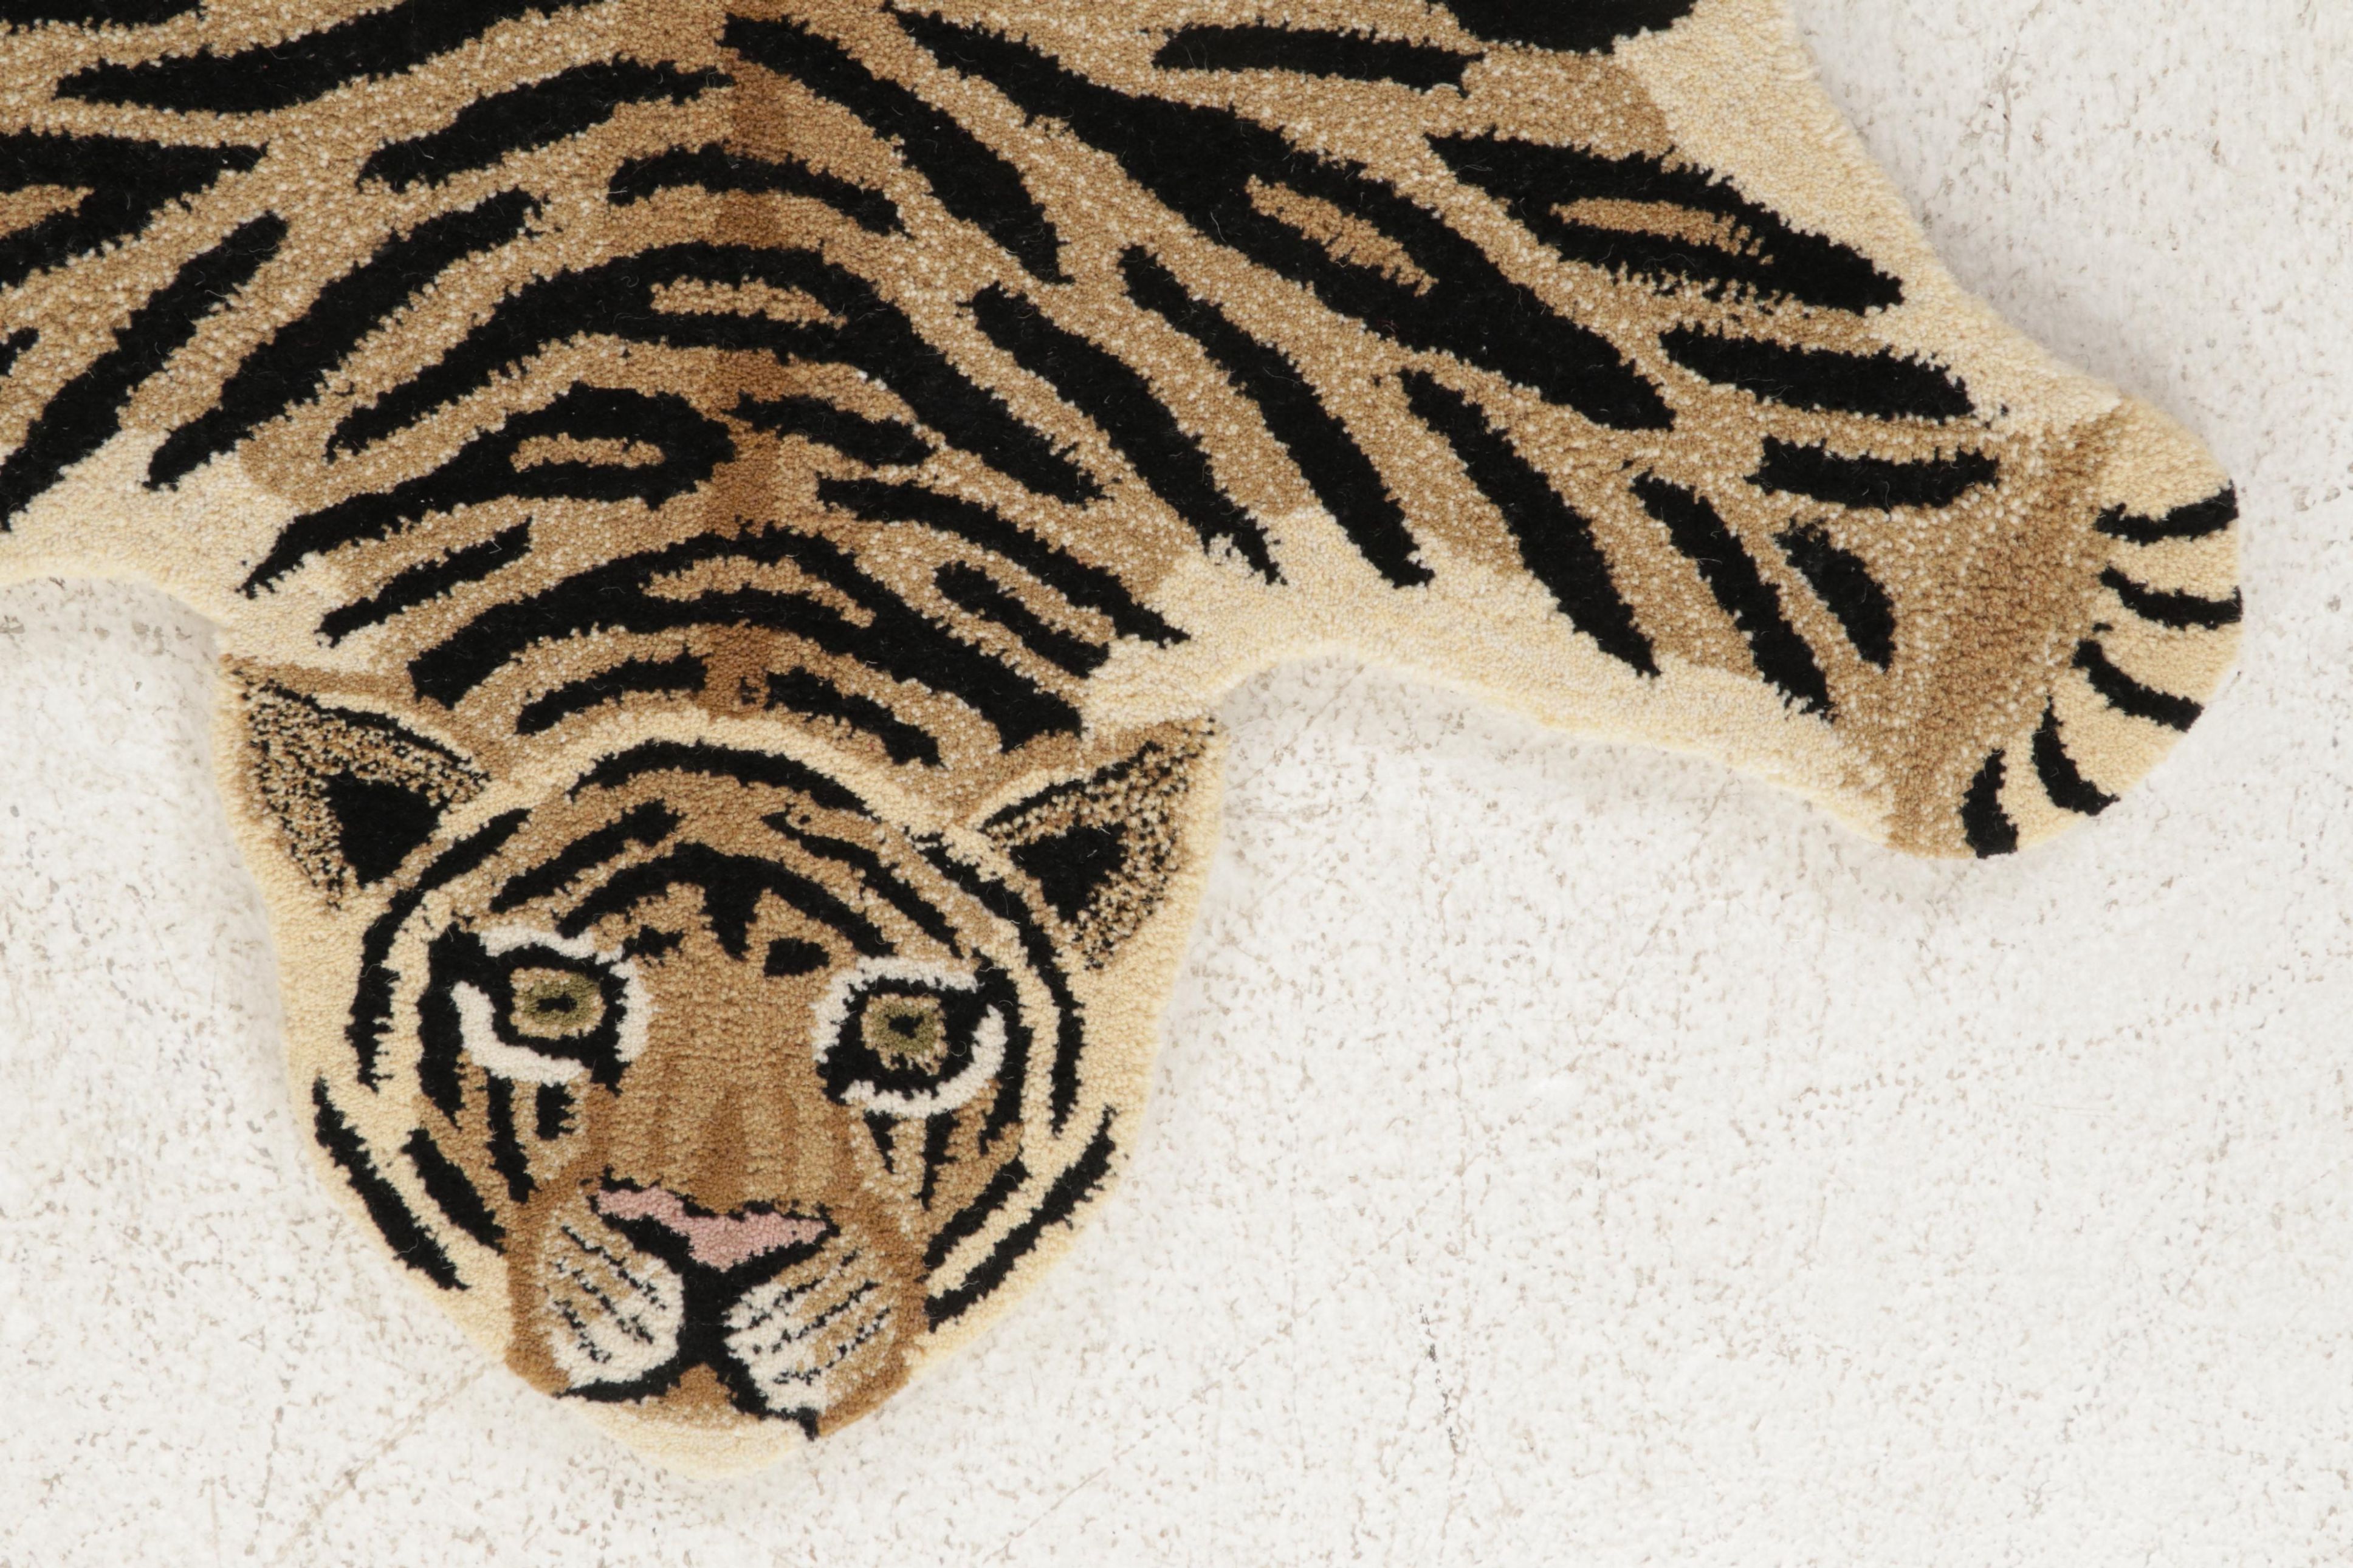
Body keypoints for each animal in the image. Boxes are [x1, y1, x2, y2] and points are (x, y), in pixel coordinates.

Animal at [0, 0, 2241, 1467]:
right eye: (552, 1006)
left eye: (907, 1035)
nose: (714, 1250)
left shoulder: (1419, 220)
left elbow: (1728, 395)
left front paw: (2078, 597)